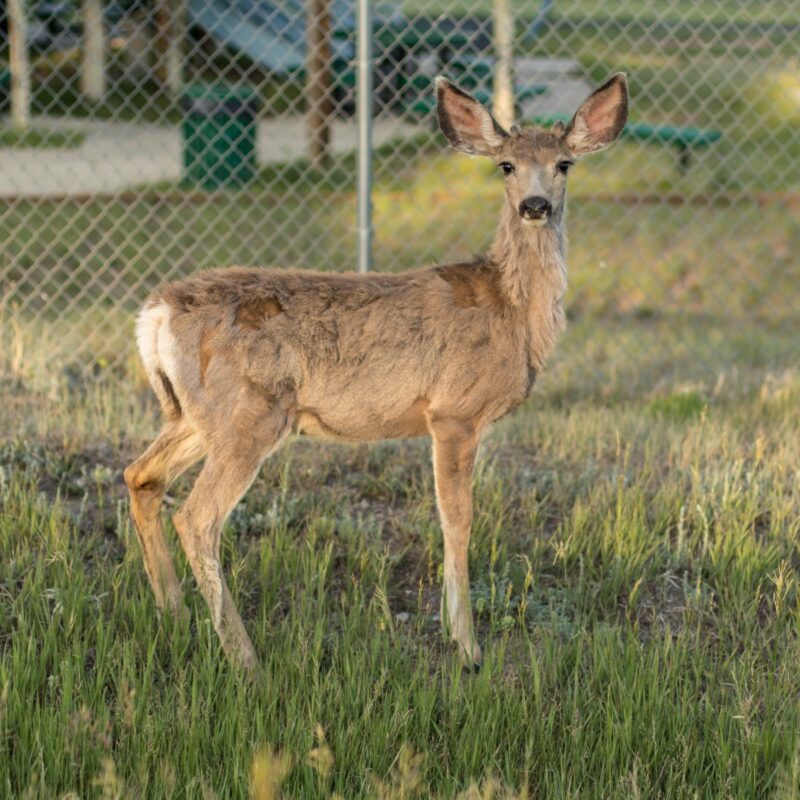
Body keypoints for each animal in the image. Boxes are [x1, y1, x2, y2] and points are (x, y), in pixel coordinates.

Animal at [124, 74, 628, 672]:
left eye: (564, 163)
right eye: (506, 165)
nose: (536, 205)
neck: (511, 310)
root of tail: (155, 313)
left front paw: (452, 631)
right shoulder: (453, 411)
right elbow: (458, 520)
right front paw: (467, 646)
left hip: (193, 414)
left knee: (141, 476)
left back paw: (173, 616)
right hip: (250, 411)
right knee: (197, 517)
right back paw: (246, 659)